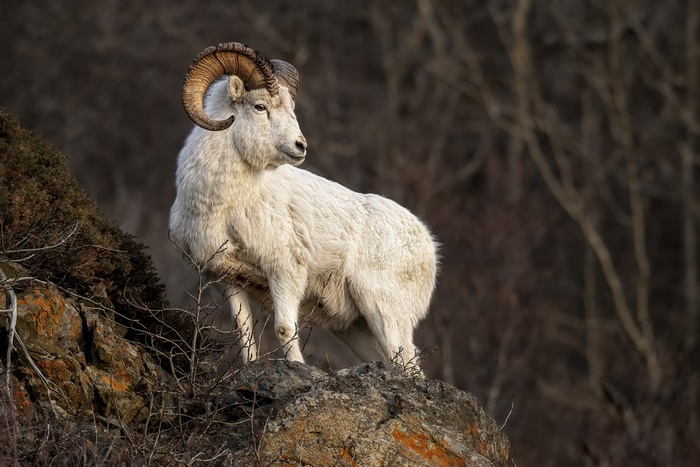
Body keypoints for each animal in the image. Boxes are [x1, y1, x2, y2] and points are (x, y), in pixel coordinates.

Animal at [169, 42, 438, 372]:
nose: (301, 146)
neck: (222, 208)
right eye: (260, 107)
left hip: (386, 314)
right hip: (357, 329)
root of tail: (427, 244)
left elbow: (285, 329)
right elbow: (244, 335)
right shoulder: (227, 279)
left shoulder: (285, 272)